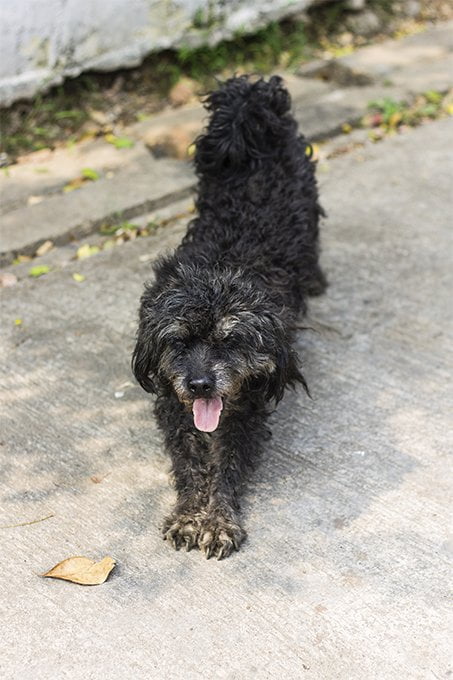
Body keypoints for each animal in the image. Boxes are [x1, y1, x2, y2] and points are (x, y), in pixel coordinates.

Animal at [132, 77, 324, 560]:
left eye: (230, 340)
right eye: (179, 341)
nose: (200, 385)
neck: (222, 264)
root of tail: (252, 96)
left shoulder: (247, 409)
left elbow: (227, 467)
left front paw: (218, 521)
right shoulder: (174, 404)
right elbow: (190, 463)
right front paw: (189, 514)